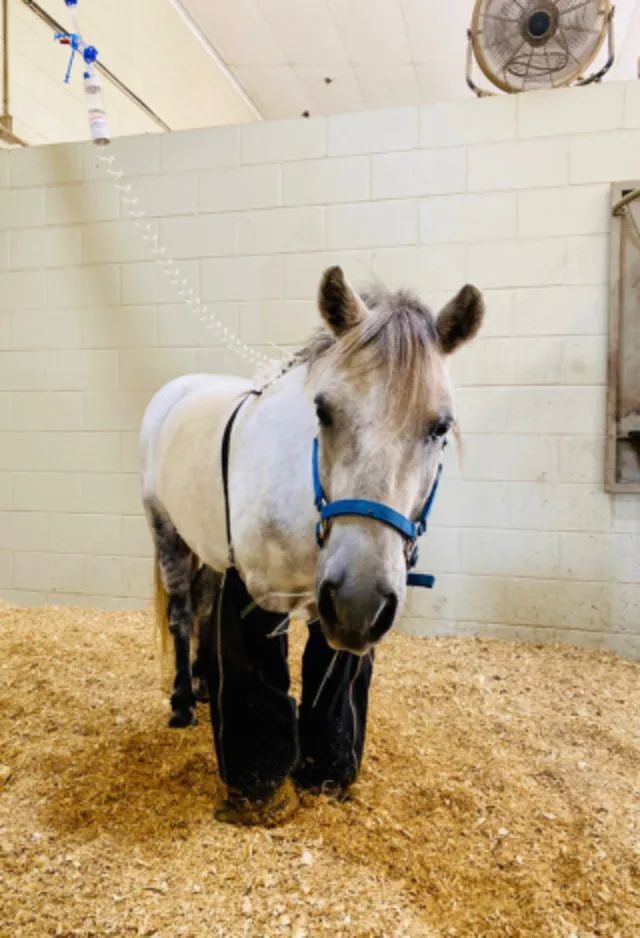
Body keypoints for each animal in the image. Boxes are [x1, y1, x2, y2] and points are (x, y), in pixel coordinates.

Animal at [140, 264, 480, 820]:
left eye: (440, 426)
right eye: (323, 411)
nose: (361, 600)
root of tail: (175, 391)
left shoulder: (332, 616)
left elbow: (330, 695)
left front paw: (324, 777)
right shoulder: (258, 599)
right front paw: (259, 792)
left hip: (212, 549)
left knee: (205, 605)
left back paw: (206, 686)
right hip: (166, 533)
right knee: (184, 615)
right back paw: (184, 703)